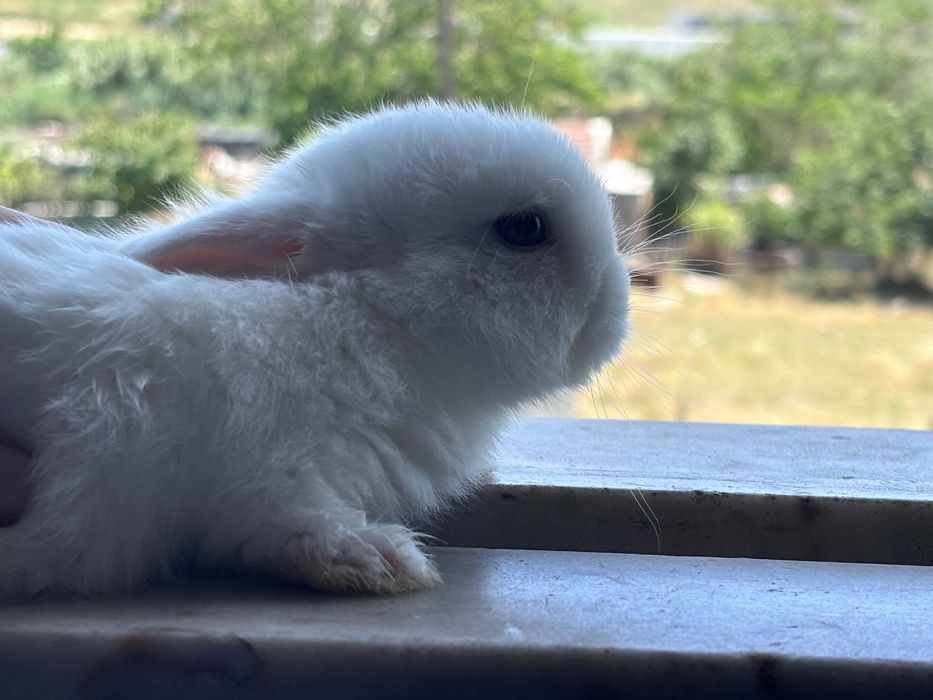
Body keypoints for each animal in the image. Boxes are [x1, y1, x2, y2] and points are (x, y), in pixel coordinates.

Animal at [0, 101, 629, 598]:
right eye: (524, 228)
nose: (616, 311)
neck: (368, 321)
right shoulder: (263, 470)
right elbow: (294, 525)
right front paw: (381, 561)